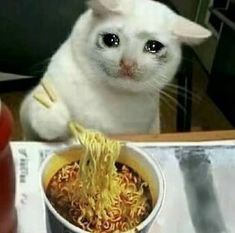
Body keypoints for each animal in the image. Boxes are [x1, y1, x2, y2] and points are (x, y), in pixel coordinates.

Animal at [20, 0, 211, 140]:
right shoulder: (29, 115)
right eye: (110, 40)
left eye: (153, 47)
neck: (108, 95)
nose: (128, 63)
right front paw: (55, 115)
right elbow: (38, 109)